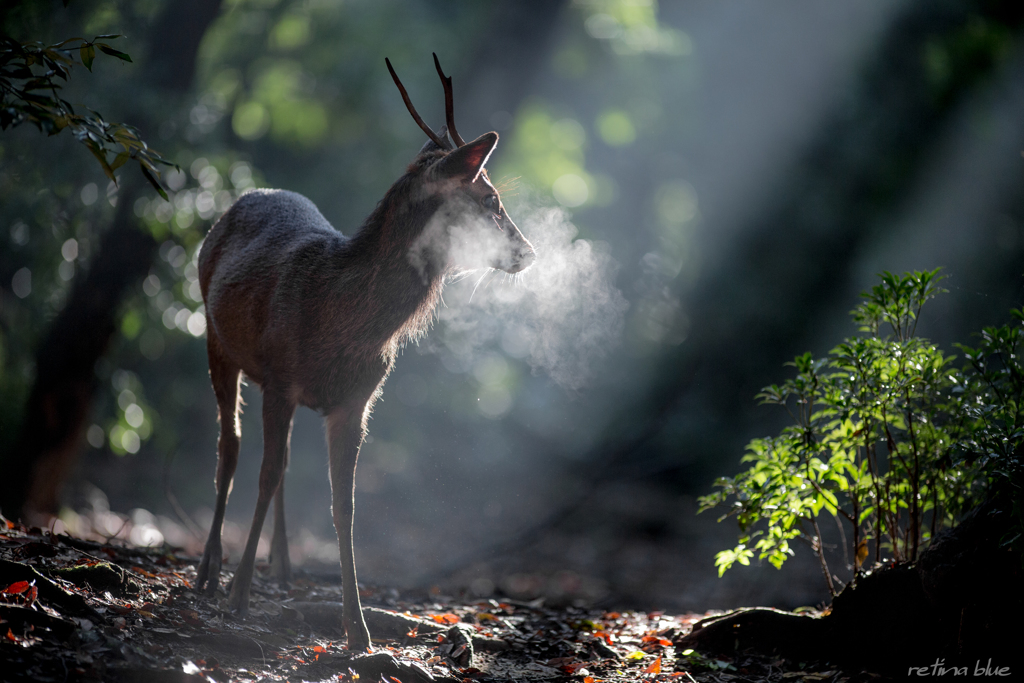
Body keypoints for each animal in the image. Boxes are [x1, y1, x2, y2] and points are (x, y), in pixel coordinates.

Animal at [193, 56, 536, 651]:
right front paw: (237, 597)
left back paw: (282, 566)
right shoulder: (280, 377)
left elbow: (345, 505)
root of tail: (244, 197)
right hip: (217, 338)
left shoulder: (356, 399)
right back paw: (210, 572)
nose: (530, 253)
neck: (343, 320)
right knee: (231, 450)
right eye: (490, 200)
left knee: (279, 463)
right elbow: (265, 474)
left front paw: (358, 630)